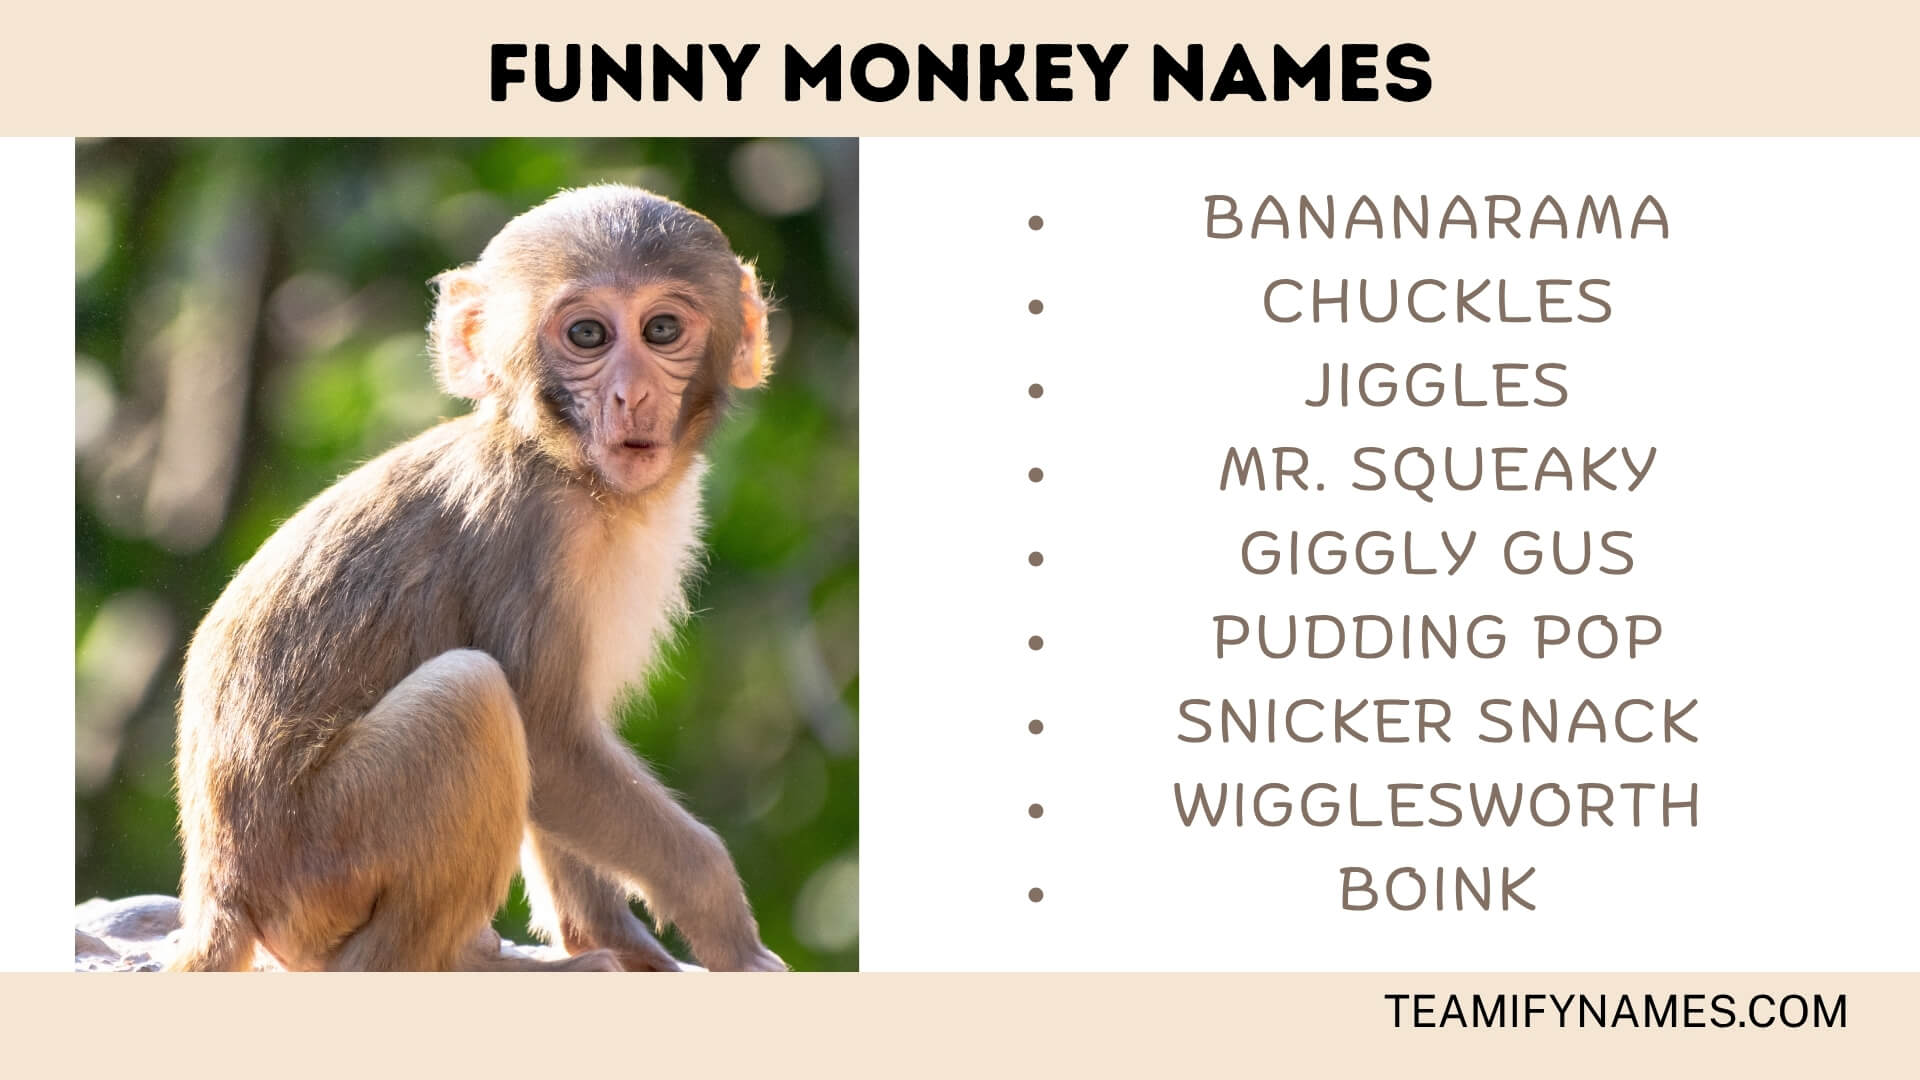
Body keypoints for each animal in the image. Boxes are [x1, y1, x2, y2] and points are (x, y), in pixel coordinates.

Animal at [167, 184, 787, 972]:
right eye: (589, 335)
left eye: (663, 329)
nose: (632, 396)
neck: (568, 467)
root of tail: (219, 889)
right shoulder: (532, 535)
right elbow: (551, 743)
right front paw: (733, 936)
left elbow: (564, 755)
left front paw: (620, 942)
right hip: (321, 859)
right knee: (473, 697)